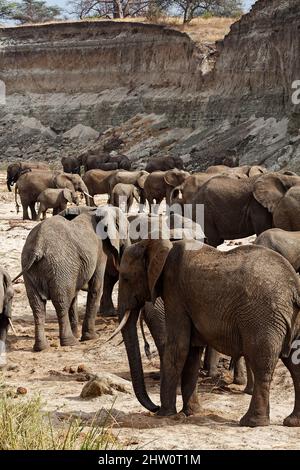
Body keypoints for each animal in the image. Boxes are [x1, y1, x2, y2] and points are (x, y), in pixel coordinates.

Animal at [12, 204, 128, 350]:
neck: (95, 210)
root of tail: (38, 247)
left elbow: (75, 294)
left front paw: (79, 335)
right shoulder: (99, 251)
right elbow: (96, 288)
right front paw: (90, 338)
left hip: (32, 268)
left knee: (37, 306)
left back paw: (41, 347)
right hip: (59, 266)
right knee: (61, 303)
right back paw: (69, 342)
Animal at [116, 241, 300, 428]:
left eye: (125, 278)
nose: (154, 407)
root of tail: (294, 286)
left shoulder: (175, 293)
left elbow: (178, 348)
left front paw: (165, 414)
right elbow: (192, 351)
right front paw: (191, 412)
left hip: (262, 318)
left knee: (262, 363)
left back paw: (252, 422)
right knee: (294, 364)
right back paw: (292, 422)